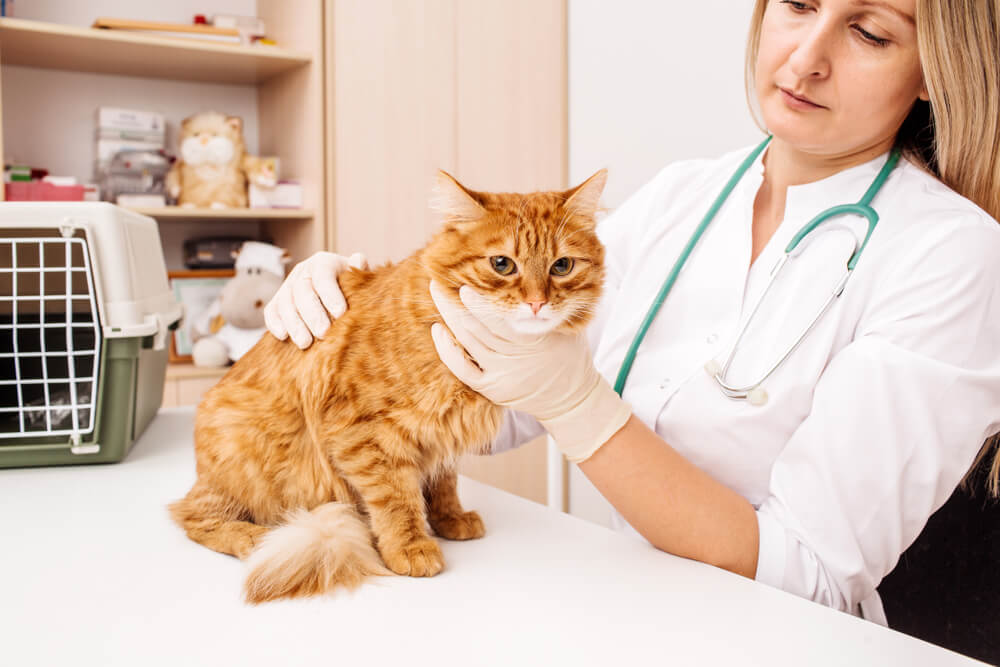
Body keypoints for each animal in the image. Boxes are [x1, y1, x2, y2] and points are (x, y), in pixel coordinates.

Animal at [171, 168, 604, 604]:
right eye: (503, 264)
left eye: (562, 266)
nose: (537, 303)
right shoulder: (364, 433)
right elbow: (396, 498)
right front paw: (410, 546)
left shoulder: (441, 433)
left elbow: (443, 481)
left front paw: (450, 518)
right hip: (243, 449)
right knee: (191, 515)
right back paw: (252, 538)